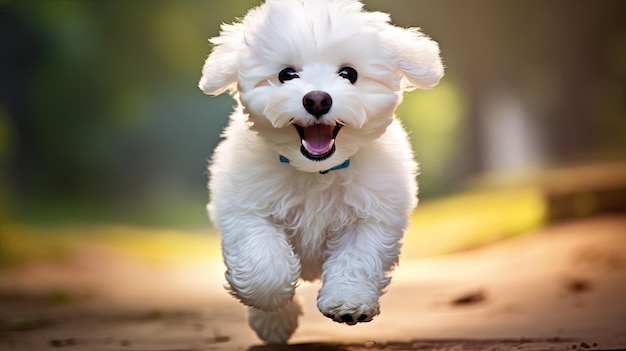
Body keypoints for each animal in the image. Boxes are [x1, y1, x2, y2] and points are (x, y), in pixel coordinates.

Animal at [197, 0, 442, 346]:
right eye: (286, 74)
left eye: (349, 73)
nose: (317, 98)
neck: (317, 171)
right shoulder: (245, 206)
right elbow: (263, 263)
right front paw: (271, 304)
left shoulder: (372, 214)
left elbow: (357, 257)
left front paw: (348, 301)